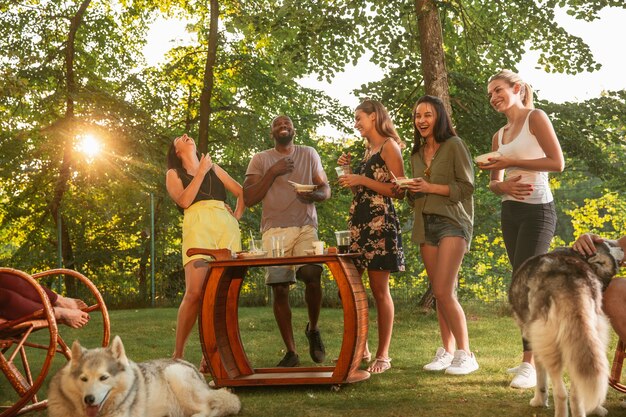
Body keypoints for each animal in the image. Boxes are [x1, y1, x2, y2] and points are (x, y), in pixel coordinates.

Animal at [510, 240, 620, 416]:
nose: (622, 246)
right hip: (591, 337)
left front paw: (538, 401)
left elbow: (541, 376)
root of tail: (571, 278)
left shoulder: (535, 340)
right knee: (577, 392)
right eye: (609, 244)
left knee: (561, 392)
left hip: (549, 343)